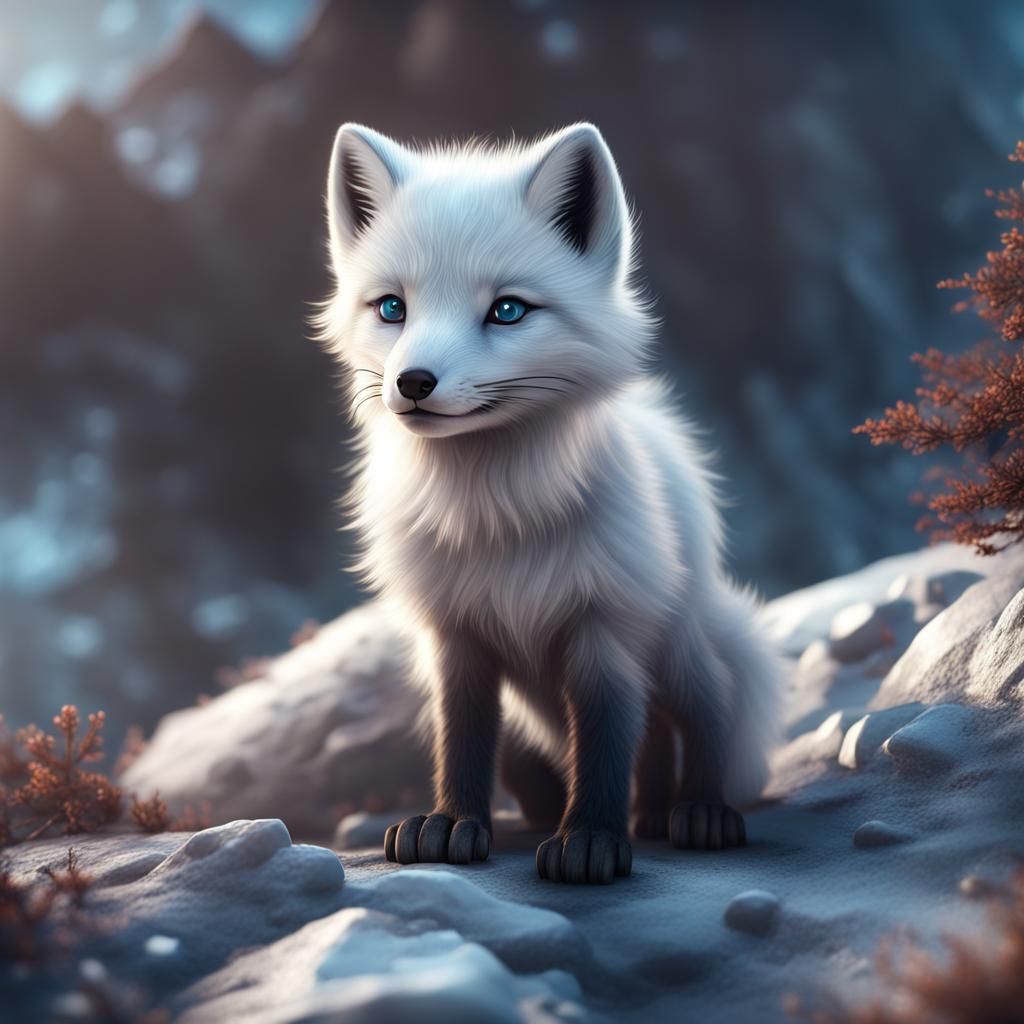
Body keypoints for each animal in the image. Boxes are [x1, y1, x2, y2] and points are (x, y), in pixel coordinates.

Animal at [317, 121, 782, 885]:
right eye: (392, 308)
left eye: (507, 310)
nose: (413, 382)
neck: (498, 520)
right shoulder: (456, 635)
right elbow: (465, 738)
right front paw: (452, 824)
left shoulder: (602, 627)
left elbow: (605, 739)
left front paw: (589, 838)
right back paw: (625, 812)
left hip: (675, 637)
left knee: (701, 704)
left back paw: (696, 812)